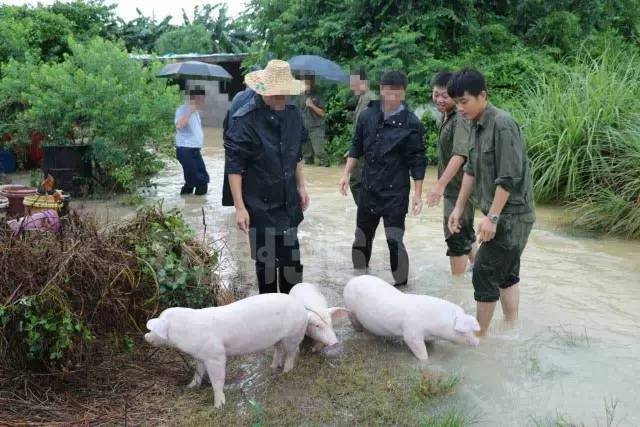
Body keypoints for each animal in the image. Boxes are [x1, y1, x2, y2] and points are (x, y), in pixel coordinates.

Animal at [144, 294, 308, 408]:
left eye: (153, 329)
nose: (145, 336)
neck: (187, 332)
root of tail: (302, 307)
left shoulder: (215, 355)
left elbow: (217, 380)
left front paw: (218, 406)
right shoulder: (201, 356)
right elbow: (198, 372)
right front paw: (190, 386)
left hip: (293, 335)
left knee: (291, 353)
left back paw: (285, 371)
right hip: (279, 339)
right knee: (279, 350)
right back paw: (273, 367)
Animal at [344, 276, 480, 362]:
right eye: (464, 331)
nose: (478, 341)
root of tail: (350, 281)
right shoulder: (412, 333)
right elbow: (419, 350)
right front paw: (426, 361)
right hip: (350, 309)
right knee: (354, 321)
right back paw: (360, 331)